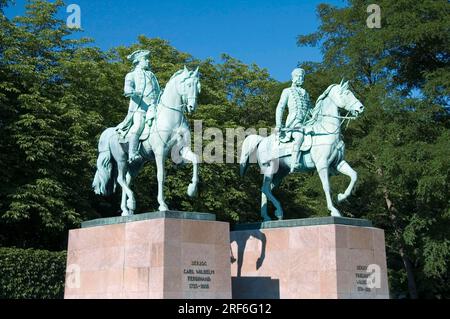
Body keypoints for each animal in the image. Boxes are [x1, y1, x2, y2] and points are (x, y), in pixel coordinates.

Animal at [93, 66, 200, 216]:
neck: (173, 119)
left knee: (127, 180)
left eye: (198, 87)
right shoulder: (160, 152)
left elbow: (196, 160)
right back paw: (131, 202)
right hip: (121, 159)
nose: (192, 107)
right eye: (189, 85)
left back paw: (127, 210)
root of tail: (112, 131)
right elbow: (161, 176)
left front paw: (192, 190)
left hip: (136, 164)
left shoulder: (183, 150)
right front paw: (162, 205)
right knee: (120, 179)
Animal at [241, 81, 364, 221]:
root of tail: (262, 140)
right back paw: (279, 212)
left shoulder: (338, 163)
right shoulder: (322, 165)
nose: (361, 107)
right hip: (269, 168)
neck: (326, 131)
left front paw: (341, 197)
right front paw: (334, 210)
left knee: (266, 189)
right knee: (266, 189)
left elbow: (354, 175)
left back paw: (267, 217)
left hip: (279, 173)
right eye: (346, 93)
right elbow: (327, 186)